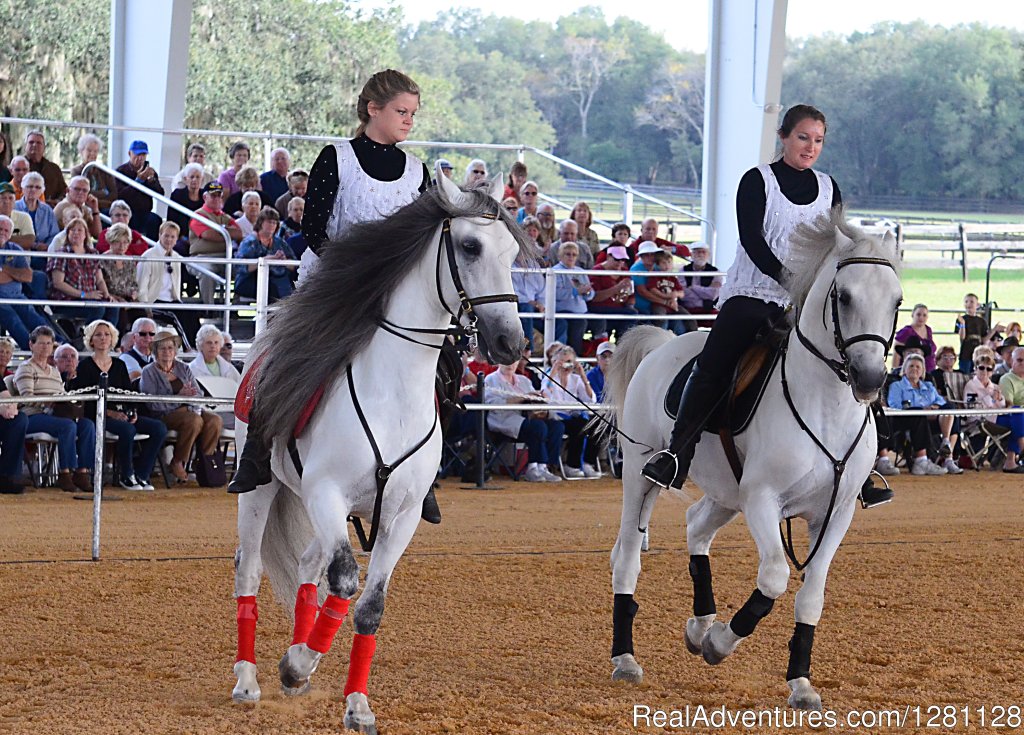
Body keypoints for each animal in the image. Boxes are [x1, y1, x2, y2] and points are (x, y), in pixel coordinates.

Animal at [233, 168, 528, 735]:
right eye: (471, 246)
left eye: (512, 252)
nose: (510, 343)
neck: (392, 392)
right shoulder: (324, 494)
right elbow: (346, 580)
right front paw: (296, 665)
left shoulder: (401, 516)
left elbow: (368, 605)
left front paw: (352, 702)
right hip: (259, 490)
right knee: (251, 569)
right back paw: (248, 680)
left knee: (310, 565)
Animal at [602, 208, 901, 712]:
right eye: (843, 296)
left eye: (897, 300)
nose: (868, 379)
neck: (824, 407)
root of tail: (662, 344)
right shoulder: (763, 500)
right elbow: (776, 577)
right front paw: (720, 644)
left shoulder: (834, 514)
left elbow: (811, 596)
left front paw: (801, 684)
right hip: (642, 477)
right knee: (626, 556)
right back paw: (626, 659)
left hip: (726, 494)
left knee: (696, 526)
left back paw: (699, 624)